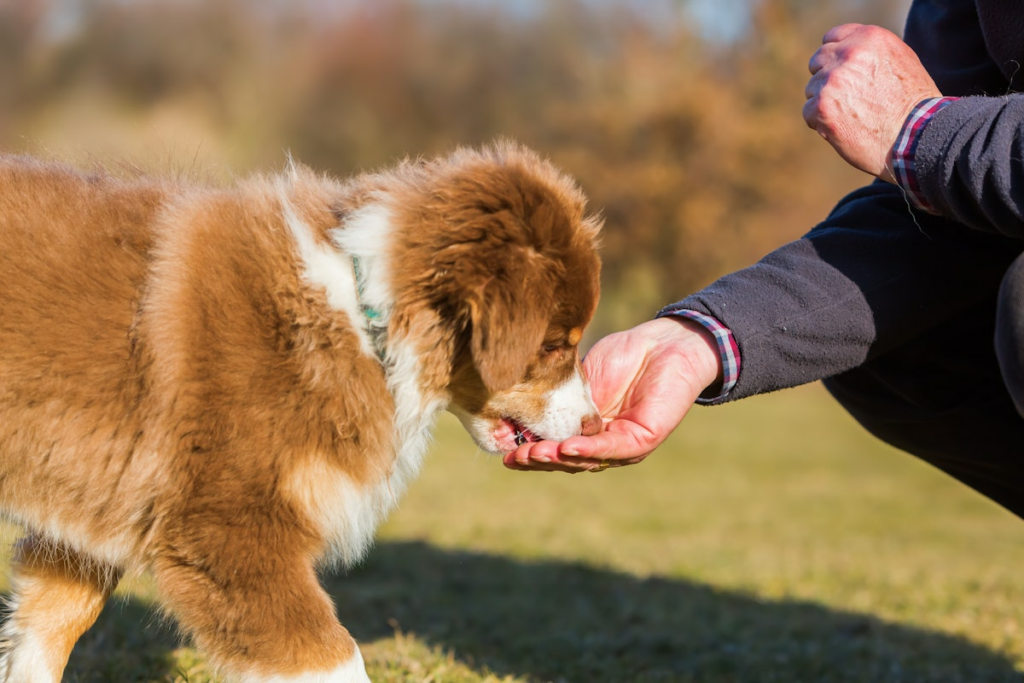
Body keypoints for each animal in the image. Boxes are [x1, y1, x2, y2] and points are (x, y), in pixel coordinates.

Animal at [0, 141, 602, 679]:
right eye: (555, 345)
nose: (595, 423)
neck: (364, 316)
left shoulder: (94, 504)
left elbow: (52, 623)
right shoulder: (229, 530)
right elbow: (332, 657)